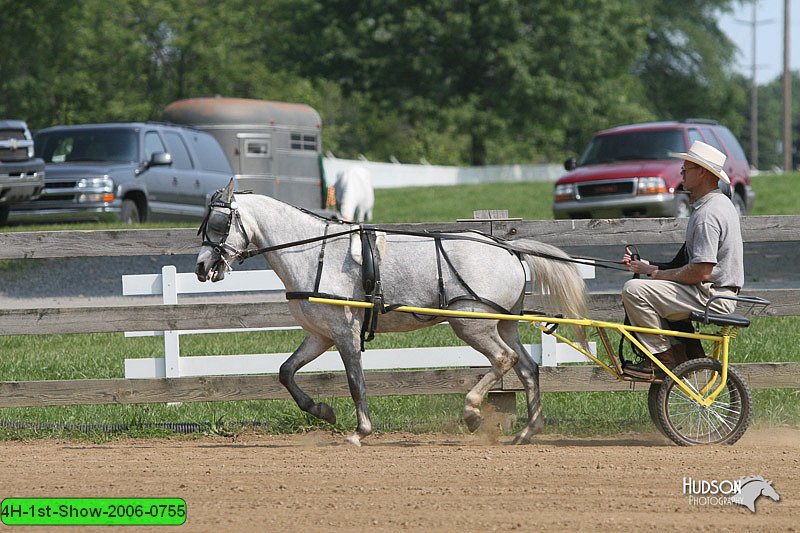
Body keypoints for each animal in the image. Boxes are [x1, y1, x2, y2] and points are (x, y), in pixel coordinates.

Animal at [195, 179, 588, 444]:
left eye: (219, 224)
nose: (201, 267)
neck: (315, 254)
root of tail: (509, 248)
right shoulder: (320, 335)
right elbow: (286, 372)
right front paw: (323, 411)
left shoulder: (345, 334)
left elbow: (355, 382)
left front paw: (360, 431)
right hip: (503, 325)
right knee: (528, 367)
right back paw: (528, 430)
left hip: (472, 325)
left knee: (505, 360)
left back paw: (473, 412)